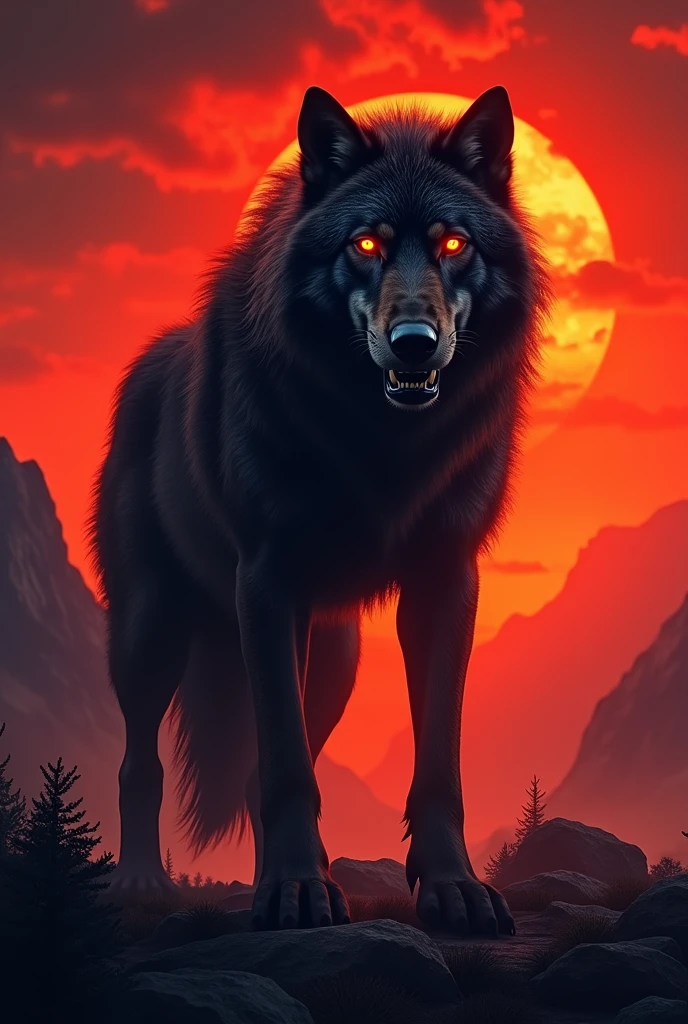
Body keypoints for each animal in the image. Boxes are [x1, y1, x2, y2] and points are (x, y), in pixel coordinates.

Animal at [90, 84, 551, 934]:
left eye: (454, 243)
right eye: (366, 244)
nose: (413, 342)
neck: (382, 443)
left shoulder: (446, 582)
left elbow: (436, 763)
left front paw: (454, 890)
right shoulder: (269, 583)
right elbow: (284, 768)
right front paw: (296, 892)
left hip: (334, 661)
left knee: (251, 768)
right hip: (151, 632)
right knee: (141, 762)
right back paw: (140, 882)